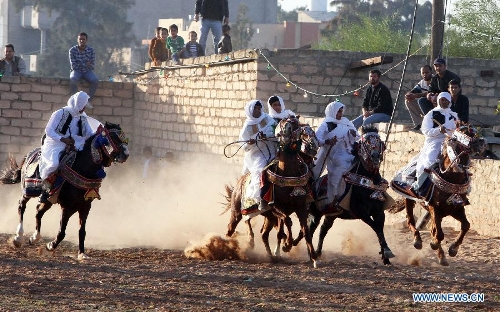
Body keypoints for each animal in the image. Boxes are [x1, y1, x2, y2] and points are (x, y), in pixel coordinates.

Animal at [0, 122, 129, 260]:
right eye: (112, 137)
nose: (126, 154)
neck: (83, 168)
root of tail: (29, 154)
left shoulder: (85, 206)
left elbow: (82, 231)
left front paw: (82, 253)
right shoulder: (67, 207)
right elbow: (62, 232)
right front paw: (50, 246)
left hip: (48, 200)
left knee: (38, 212)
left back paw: (34, 238)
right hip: (27, 191)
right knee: (22, 206)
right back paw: (18, 238)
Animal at [224, 118, 320, 266]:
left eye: (295, 125)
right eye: (284, 125)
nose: (313, 145)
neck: (288, 174)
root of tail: (240, 182)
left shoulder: (301, 208)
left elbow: (305, 231)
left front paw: (314, 258)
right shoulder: (275, 207)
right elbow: (287, 223)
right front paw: (287, 245)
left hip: (268, 217)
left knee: (264, 234)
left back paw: (271, 256)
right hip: (237, 212)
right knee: (232, 228)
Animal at [292, 125, 394, 264]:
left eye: (379, 141)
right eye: (366, 142)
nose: (375, 156)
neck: (366, 183)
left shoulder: (379, 212)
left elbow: (379, 229)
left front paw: (385, 256)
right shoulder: (360, 212)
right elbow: (376, 227)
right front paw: (387, 252)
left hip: (331, 215)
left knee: (322, 230)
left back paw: (316, 253)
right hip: (315, 214)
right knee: (309, 230)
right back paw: (305, 252)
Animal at [392, 125, 486, 264]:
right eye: (464, 132)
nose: (482, 142)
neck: (452, 178)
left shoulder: (456, 209)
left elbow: (465, 226)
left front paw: (453, 249)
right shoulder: (434, 208)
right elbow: (439, 234)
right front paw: (434, 244)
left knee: (432, 229)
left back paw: (441, 256)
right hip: (409, 199)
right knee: (411, 222)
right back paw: (418, 241)